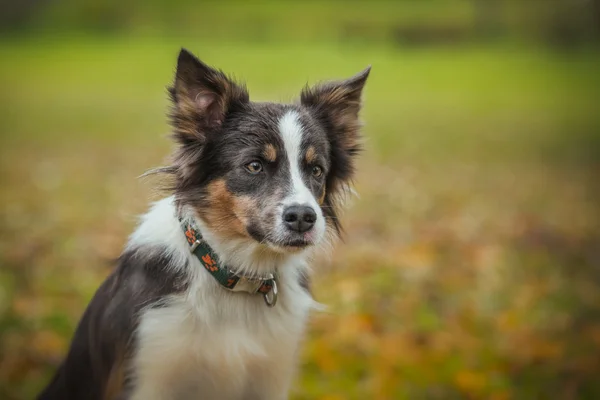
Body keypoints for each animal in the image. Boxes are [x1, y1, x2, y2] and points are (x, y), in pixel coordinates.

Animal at [38, 48, 370, 398]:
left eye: (316, 170)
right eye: (254, 166)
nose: (304, 218)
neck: (236, 277)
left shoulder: (271, 378)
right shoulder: (148, 371)